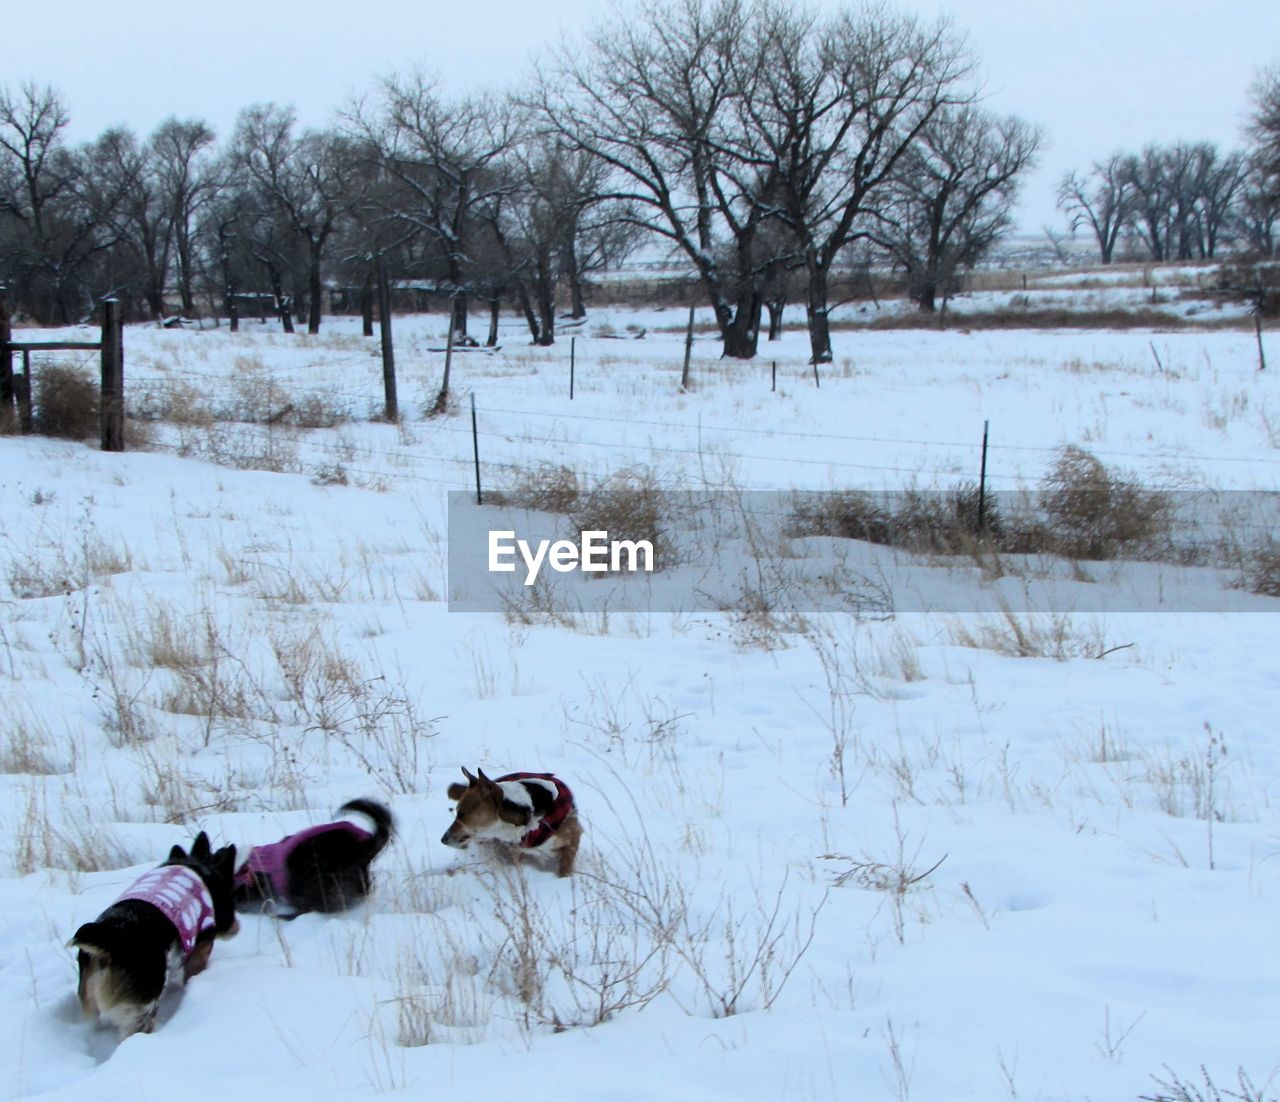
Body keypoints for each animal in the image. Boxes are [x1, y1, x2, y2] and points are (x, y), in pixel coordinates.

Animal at [68, 834, 240, 1039]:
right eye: (232, 899)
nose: (237, 928)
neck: (198, 868)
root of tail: (111, 942)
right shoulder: (200, 951)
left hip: (92, 1003)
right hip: (141, 1010)